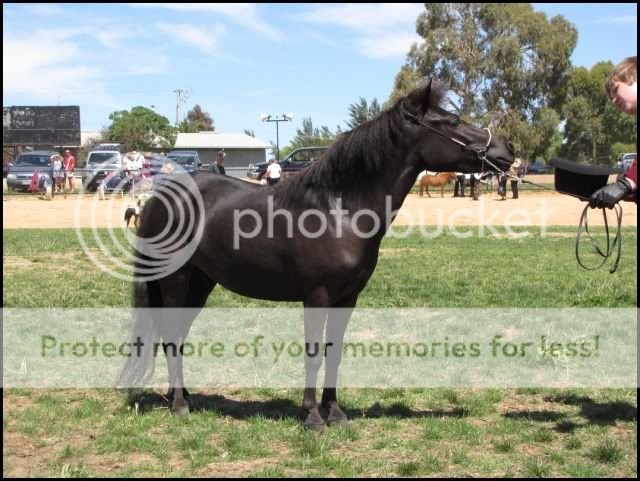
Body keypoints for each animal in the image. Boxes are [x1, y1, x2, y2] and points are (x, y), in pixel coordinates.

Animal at [116, 79, 516, 432]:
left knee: (178, 336)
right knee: (171, 336)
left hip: (202, 282)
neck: (339, 209)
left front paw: (335, 412)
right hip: (177, 280)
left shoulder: (347, 298)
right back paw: (179, 406)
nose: (507, 150)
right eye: (451, 121)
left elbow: (333, 352)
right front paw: (311, 416)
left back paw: (182, 396)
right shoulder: (317, 295)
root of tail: (159, 196)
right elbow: (312, 351)